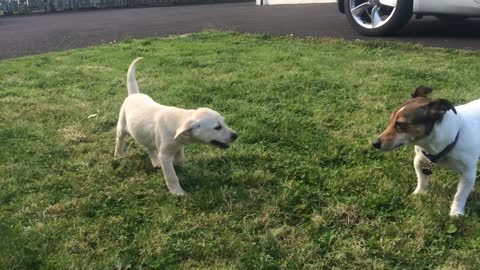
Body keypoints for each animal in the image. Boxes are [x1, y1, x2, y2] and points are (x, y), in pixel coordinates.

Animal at [115, 57, 238, 196]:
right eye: (217, 127)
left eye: (224, 122)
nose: (235, 136)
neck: (178, 122)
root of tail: (134, 94)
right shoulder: (164, 154)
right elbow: (171, 175)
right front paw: (177, 192)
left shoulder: (179, 145)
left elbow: (180, 159)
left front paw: (175, 164)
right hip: (122, 126)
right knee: (119, 139)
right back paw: (118, 155)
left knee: (150, 147)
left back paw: (155, 162)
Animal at [376, 86, 480, 217]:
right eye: (390, 121)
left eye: (400, 124)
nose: (375, 143)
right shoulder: (419, 161)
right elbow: (422, 180)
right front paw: (419, 193)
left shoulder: (468, 172)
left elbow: (460, 194)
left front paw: (456, 211)